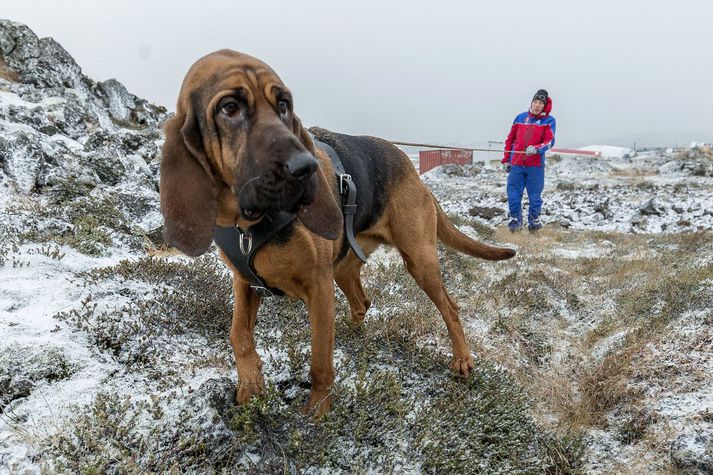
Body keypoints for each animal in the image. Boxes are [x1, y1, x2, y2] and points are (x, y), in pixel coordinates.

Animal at [160, 50, 516, 418]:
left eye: (284, 104)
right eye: (229, 108)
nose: (305, 169)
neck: (251, 224)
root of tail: (417, 177)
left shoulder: (318, 287)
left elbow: (319, 360)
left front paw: (317, 412)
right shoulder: (245, 282)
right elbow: (238, 335)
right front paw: (249, 386)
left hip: (419, 261)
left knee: (450, 308)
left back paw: (461, 359)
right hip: (344, 267)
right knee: (362, 302)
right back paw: (353, 337)